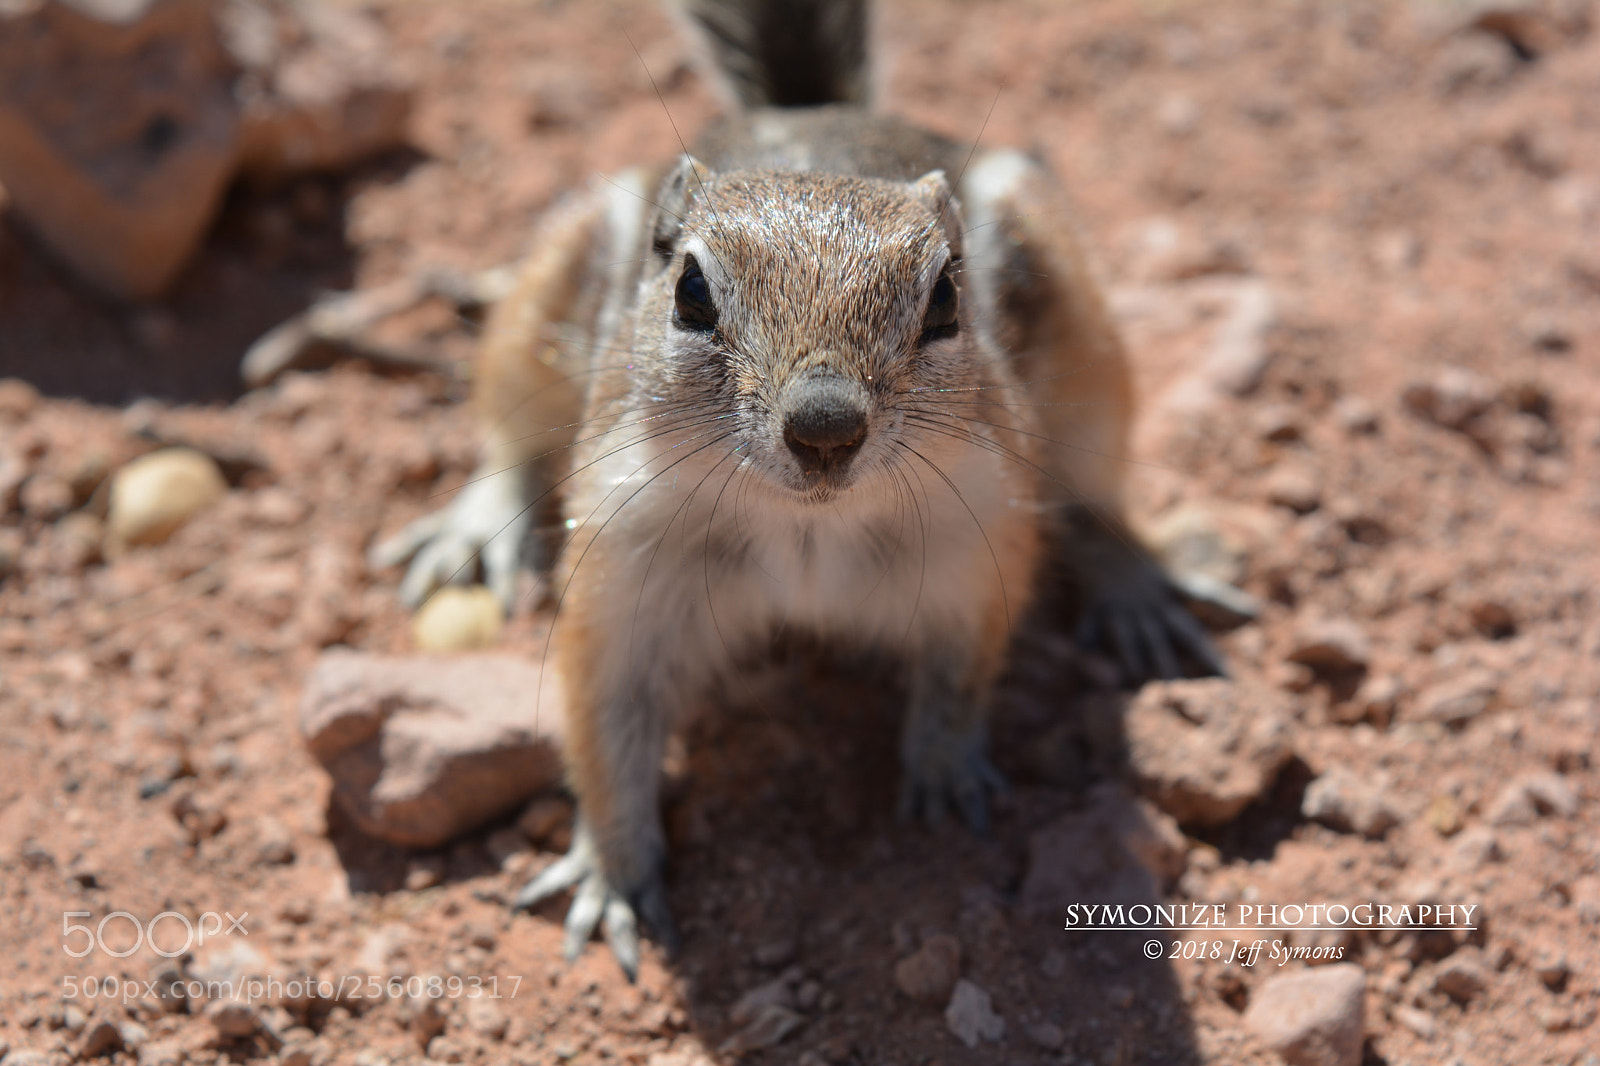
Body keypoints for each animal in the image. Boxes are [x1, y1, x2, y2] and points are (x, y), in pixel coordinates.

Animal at [372, 0, 1224, 979]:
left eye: (946, 297)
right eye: (690, 292)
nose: (824, 426)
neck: (806, 526)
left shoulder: (976, 550)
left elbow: (961, 677)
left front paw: (945, 775)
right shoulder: (623, 575)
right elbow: (605, 725)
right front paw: (614, 872)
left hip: (1085, 347)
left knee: (1095, 492)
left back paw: (1139, 589)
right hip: (542, 295)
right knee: (508, 436)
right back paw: (473, 529)